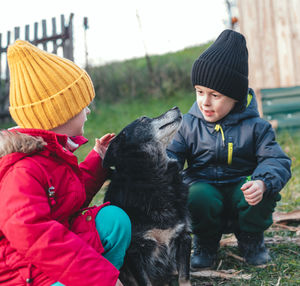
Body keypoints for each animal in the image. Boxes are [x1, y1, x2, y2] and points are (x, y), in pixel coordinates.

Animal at [103, 107, 192, 286]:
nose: (176, 108)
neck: (153, 178)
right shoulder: (135, 251)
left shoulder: (184, 236)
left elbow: (184, 276)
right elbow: (145, 281)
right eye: (144, 119)